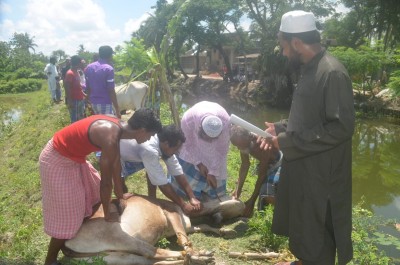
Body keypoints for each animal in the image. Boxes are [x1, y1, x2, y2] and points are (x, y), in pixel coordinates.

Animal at [63, 193, 244, 262]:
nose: (243, 206)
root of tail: (65, 243)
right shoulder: (172, 214)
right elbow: (183, 238)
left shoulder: (184, 226)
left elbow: (202, 225)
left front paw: (226, 231)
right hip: (119, 235)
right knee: (152, 251)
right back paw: (201, 256)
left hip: (116, 257)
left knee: (150, 260)